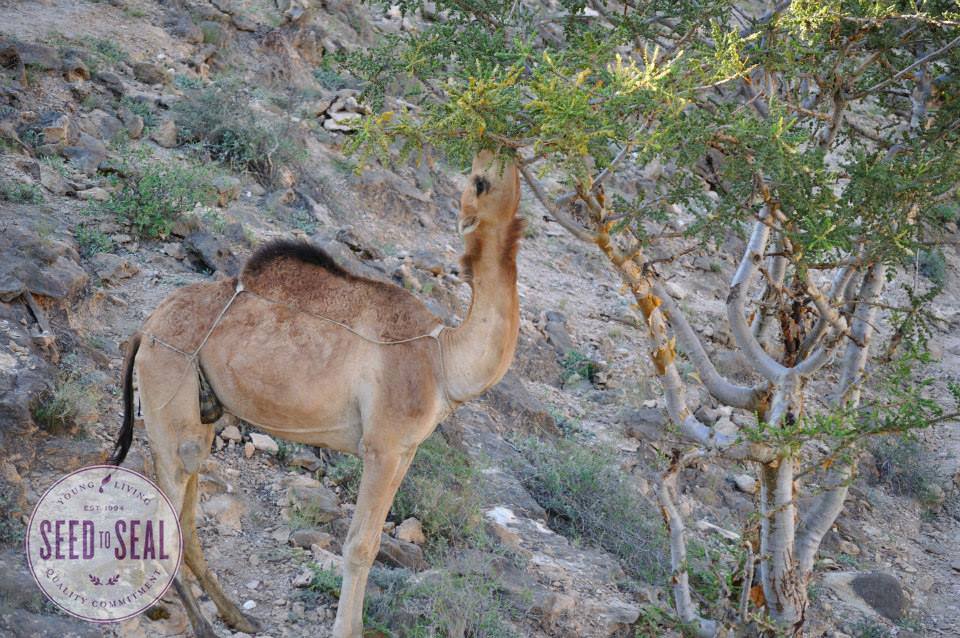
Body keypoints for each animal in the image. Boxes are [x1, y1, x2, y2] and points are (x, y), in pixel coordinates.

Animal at [106, 151, 523, 638]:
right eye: (479, 179)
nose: (484, 164)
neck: (441, 359)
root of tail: (146, 328)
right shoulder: (382, 447)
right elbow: (360, 546)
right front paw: (347, 630)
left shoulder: (406, 449)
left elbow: (373, 542)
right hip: (169, 384)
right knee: (167, 507)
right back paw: (203, 624)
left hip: (199, 410)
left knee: (186, 509)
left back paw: (238, 615)